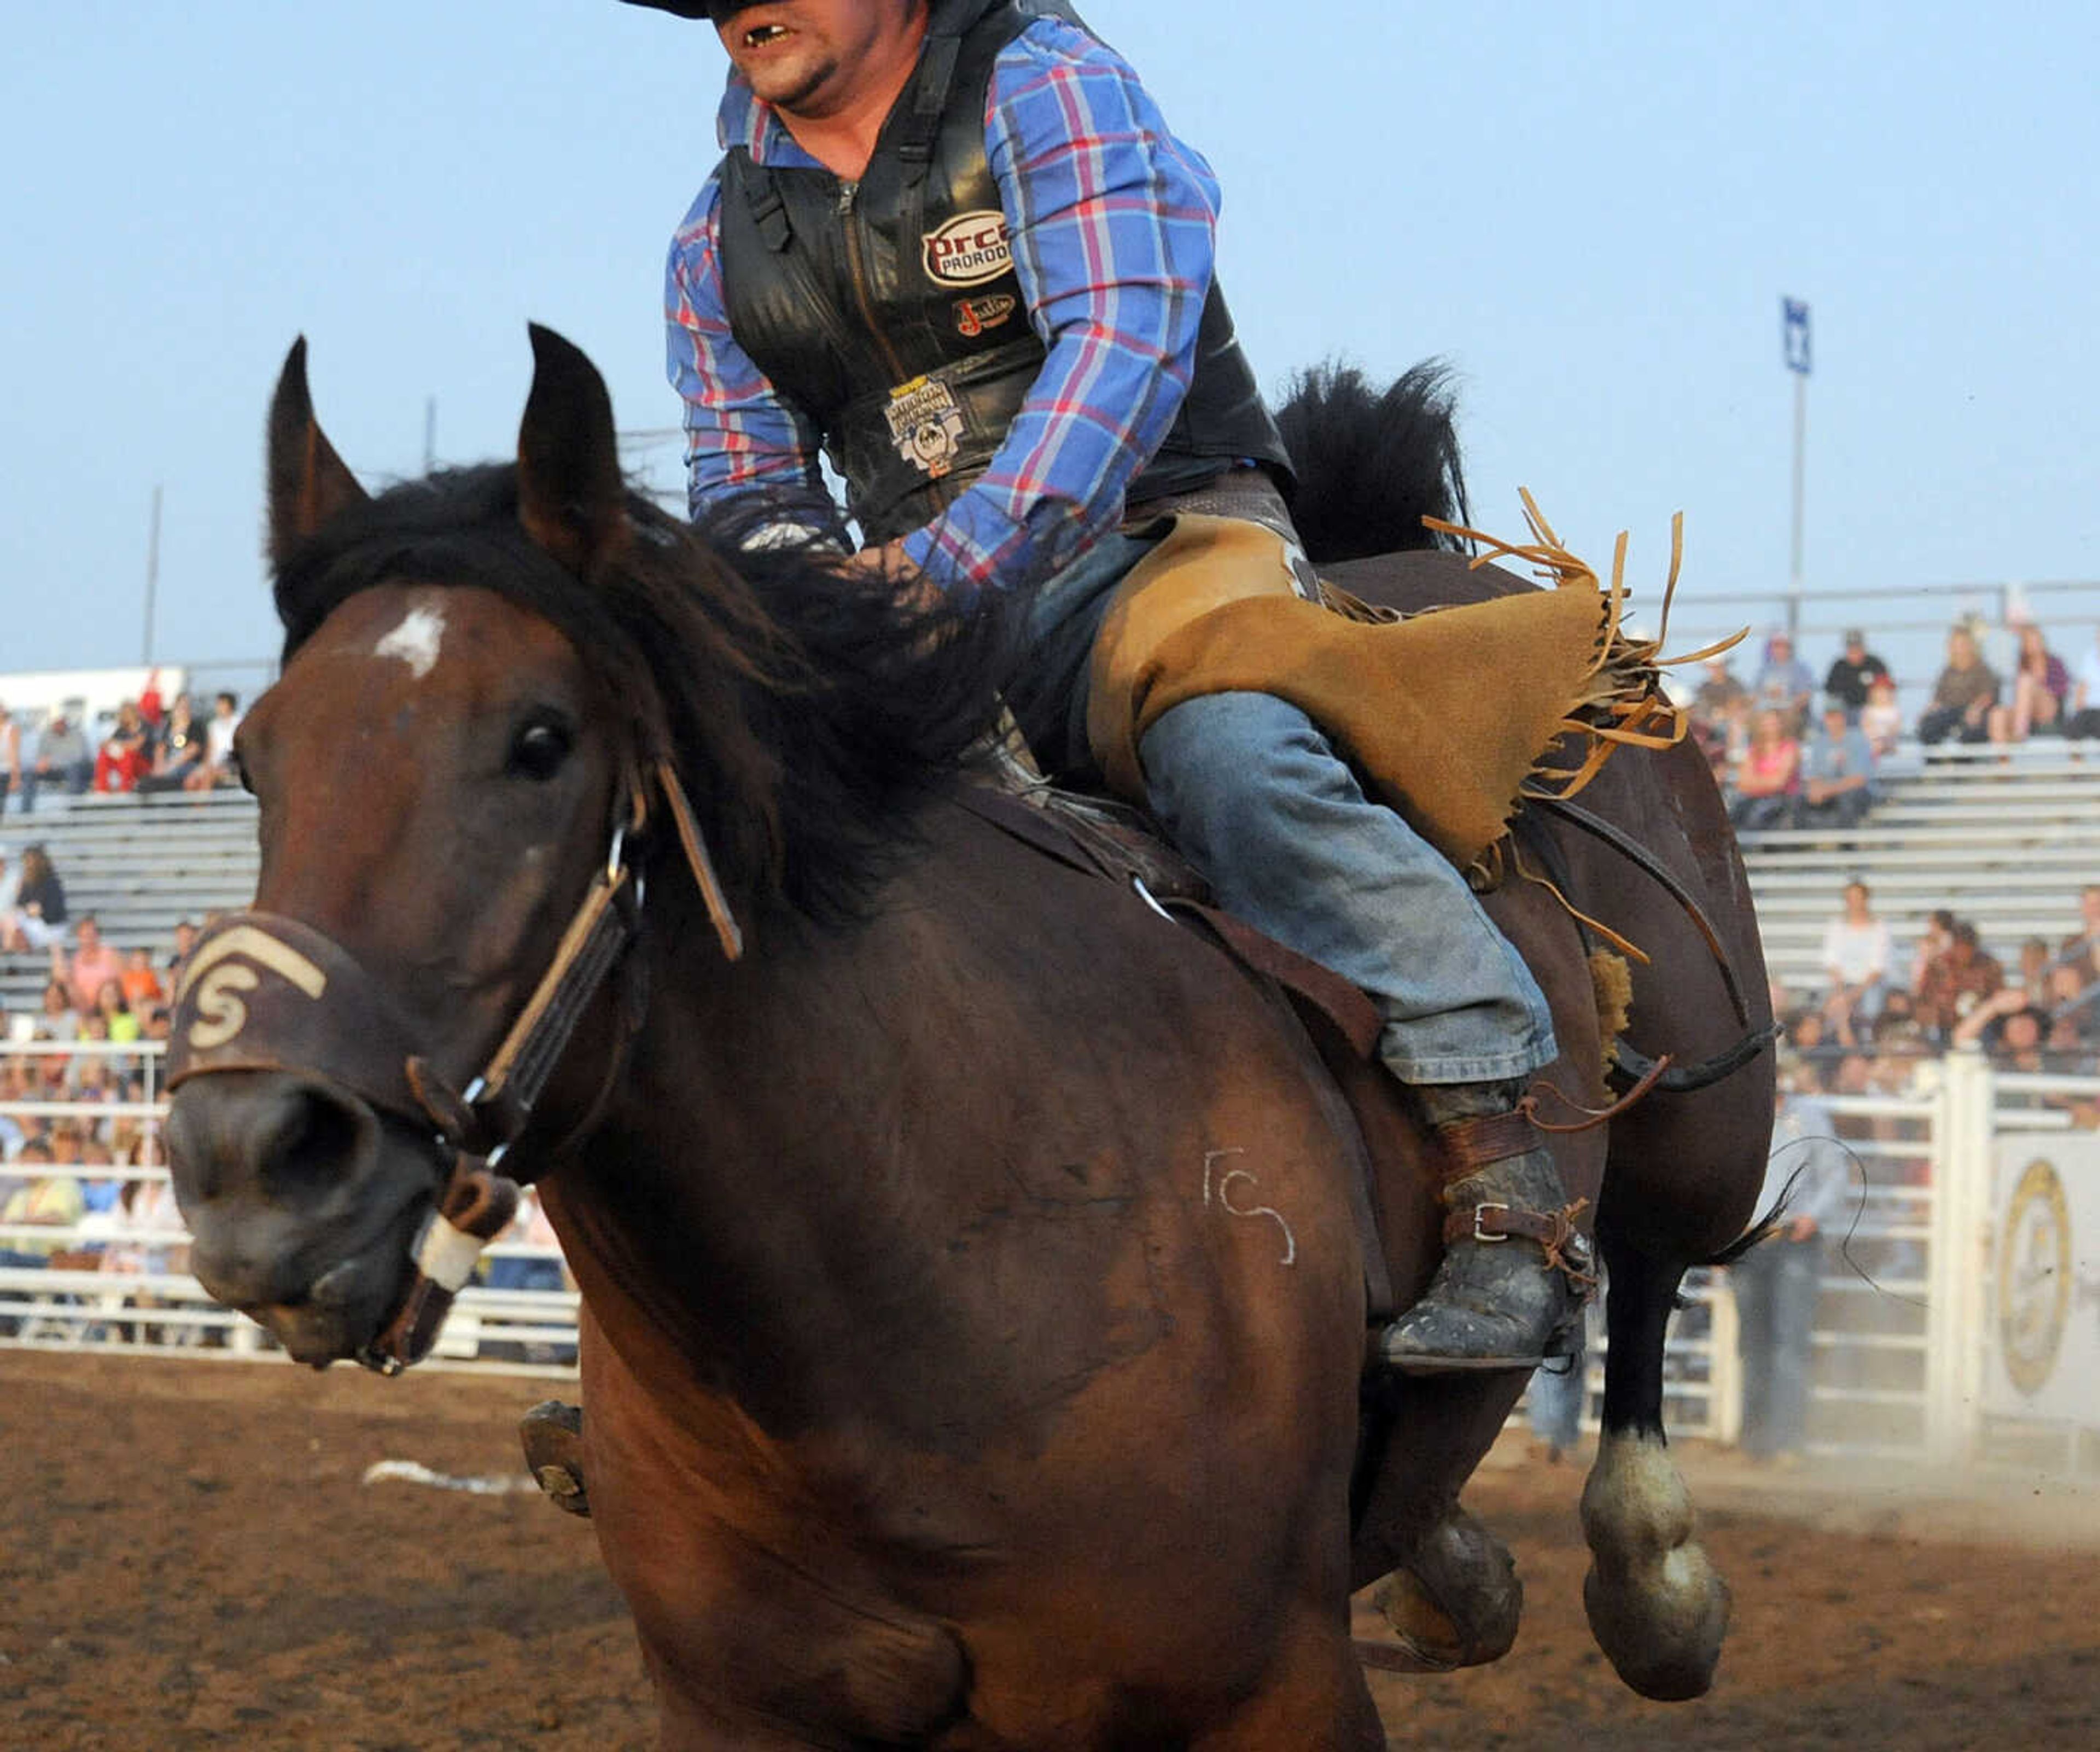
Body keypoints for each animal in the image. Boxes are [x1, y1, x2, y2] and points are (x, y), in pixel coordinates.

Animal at [168, 331, 1772, 1748]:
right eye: (253, 754)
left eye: (542, 741)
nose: (251, 1158)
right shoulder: (742, 1709)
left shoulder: (1275, 1688)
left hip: (1707, 1113)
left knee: (1648, 1265)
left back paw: (1645, 1562)